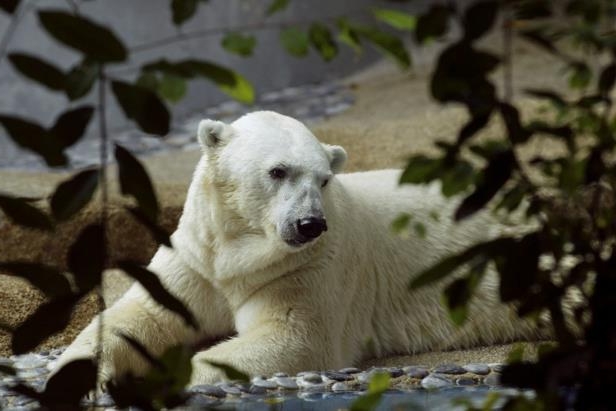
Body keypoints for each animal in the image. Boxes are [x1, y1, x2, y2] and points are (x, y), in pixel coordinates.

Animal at [53, 110, 544, 386]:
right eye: (278, 171)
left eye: (324, 179)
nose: (310, 224)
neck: (237, 252)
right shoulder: (195, 259)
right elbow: (141, 316)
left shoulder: (310, 266)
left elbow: (293, 337)